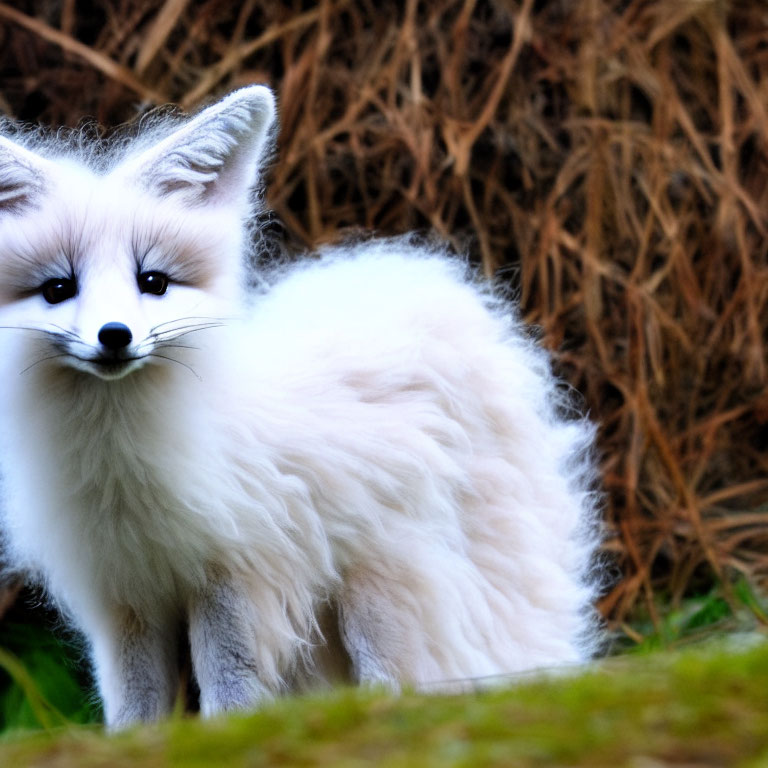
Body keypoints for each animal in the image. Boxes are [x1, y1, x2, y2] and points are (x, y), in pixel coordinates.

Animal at [0, 87, 600, 728]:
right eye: (59, 289)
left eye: (153, 281)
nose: (115, 336)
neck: (119, 460)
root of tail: (429, 282)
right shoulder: (125, 596)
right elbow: (136, 706)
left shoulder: (236, 573)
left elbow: (230, 681)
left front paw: (228, 736)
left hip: (383, 593)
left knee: (405, 680)